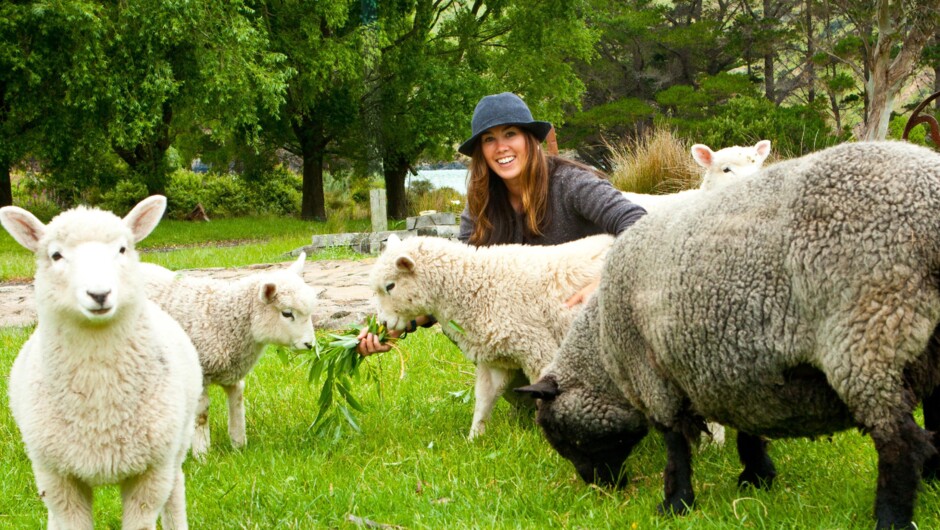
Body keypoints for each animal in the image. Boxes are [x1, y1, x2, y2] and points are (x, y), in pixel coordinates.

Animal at [2, 195, 202, 528]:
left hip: (177, 442)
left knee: (176, 489)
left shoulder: (151, 471)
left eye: (122, 249)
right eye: (56, 255)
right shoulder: (56, 475)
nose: (99, 294)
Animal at [139, 251, 316, 454]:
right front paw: (202, 453)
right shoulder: (201, 371)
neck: (223, 319)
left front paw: (239, 445)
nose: (309, 344)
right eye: (287, 313)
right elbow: (202, 414)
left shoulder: (232, 373)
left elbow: (238, 402)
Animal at [368, 232, 608, 438]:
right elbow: (483, 399)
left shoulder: (537, 348)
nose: (383, 324)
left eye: (390, 286)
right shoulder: (496, 359)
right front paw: (474, 438)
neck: (479, 283)